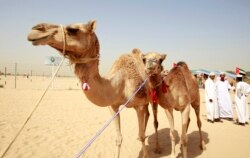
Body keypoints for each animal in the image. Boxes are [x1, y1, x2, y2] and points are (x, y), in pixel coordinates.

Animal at [26, 20, 150, 157]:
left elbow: (142, 135)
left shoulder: (139, 105)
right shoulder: (113, 106)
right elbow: (119, 138)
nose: (35, 30)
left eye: (72, 29)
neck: (120, 84)